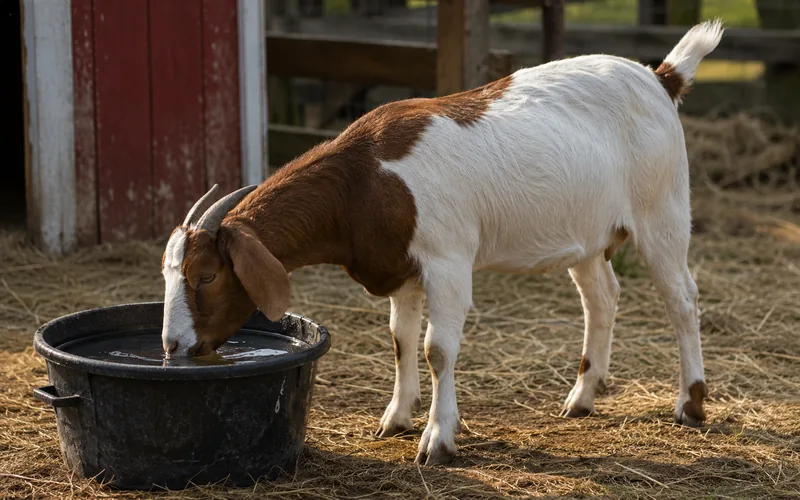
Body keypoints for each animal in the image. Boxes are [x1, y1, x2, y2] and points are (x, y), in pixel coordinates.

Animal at [161, 20, 724, 466]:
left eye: (206, 275)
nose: (173, 347)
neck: (363, 178)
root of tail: (660, 77)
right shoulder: (400, 266)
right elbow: (400, 339)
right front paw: (395, 418)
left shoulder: (446, 260)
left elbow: (437, 348)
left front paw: (437, 439)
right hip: (587, 232)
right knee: (602, 296)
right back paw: (582, 397)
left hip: (663, 209)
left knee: (682, 297)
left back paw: (690, 404)